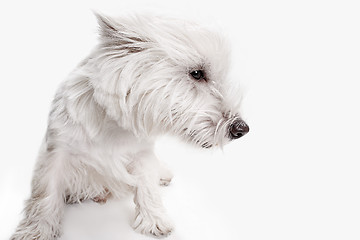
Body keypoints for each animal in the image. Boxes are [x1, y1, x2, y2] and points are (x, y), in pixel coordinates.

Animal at [10, 13, 248, 240]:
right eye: (197, 73)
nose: (242, 129)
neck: (114, 126)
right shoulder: (56, 151)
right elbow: (45, 193)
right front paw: (36, 231)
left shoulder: (142, 154)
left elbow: (147, 187)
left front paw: (154, 220)